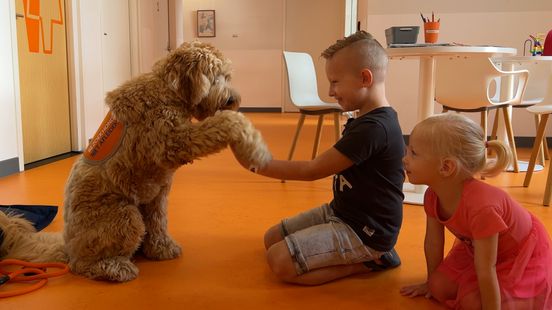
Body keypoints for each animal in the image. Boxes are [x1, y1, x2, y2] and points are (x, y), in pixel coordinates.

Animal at [0, 40, 272, 280]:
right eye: (216, 76)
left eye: (228, 76)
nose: (233, 100)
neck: (167, 90)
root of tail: (67, 244)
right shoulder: (171, 141)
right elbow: (224, 122)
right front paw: (254, 147)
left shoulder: (161, 187)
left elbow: (160, 222)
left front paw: (162, 248)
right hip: (125, 216)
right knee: (82, 264)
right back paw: (113, 267)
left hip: (149, 203)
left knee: (152, 225)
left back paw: (156, 248)